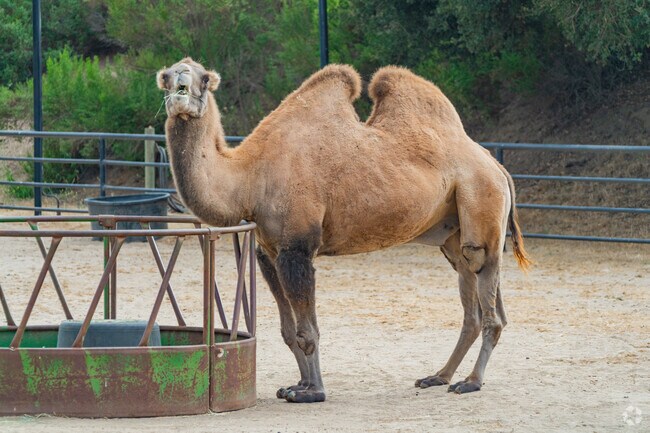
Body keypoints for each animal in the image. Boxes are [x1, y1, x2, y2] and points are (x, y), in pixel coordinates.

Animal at [157, 58, 531, 403]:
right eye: (167, 75)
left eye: (203, 78)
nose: (180, 83)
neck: (249, 176)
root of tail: (496, 164)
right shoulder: (269, 252)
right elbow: (288, 331)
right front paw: (298, 385)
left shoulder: (297, 247)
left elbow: (307, 332)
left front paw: (313, 392)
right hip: (453, 233)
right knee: (473, 298)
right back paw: (439, 376)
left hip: (480, 202)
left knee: (486, 291)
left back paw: (471, 382)